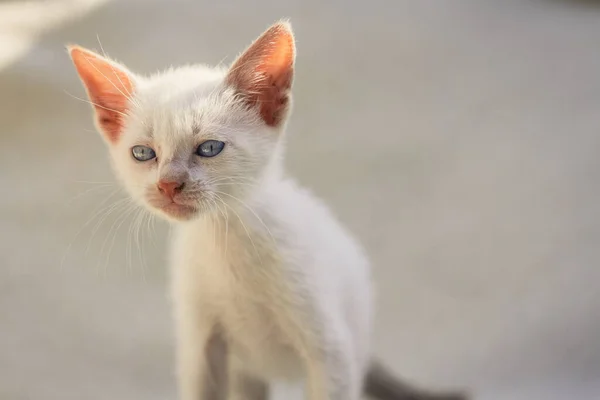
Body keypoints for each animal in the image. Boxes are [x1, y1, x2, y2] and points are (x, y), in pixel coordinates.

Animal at [68, 21, 466, 400]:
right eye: (143, 153)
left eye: (209, 148)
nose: (168, 184)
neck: (225, 241)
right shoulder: (201, 345)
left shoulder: (331, 352)